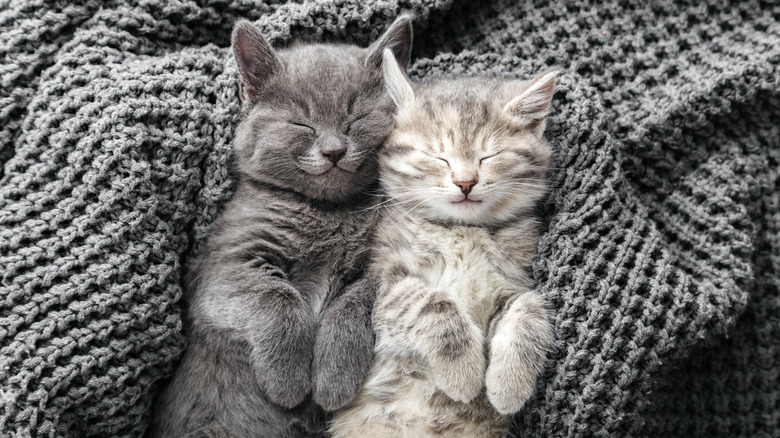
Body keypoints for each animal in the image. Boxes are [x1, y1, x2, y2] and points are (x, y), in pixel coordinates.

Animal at [148, 15, 414, 436]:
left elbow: (356, 298)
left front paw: (333, 379)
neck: (329, 212)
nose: (334, 150)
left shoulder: (387, 259)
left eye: (354, 118)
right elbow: (278, 296)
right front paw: (288, 382)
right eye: (301, 123)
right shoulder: (225, 264)